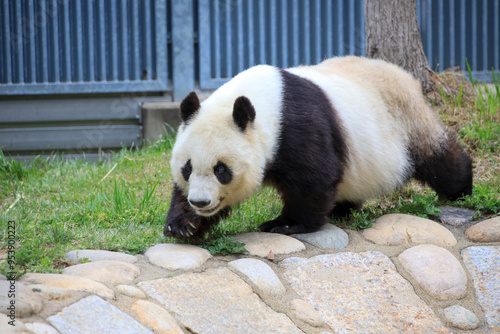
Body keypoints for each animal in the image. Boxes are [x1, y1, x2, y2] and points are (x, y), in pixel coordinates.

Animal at [165, 55, 472, 237]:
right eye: (187, 168)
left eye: (221, 169)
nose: (200, 202)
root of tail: (406, 77)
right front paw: (183, 225)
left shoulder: (297, 126)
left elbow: (313, 176)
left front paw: (284, 224)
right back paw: (342, 209)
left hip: (406, 121)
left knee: (438, 159)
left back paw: (462, 191)